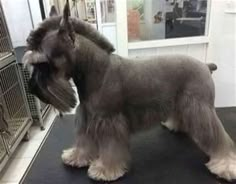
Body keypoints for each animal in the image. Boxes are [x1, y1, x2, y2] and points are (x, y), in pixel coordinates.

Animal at [23, 1, 236, 183]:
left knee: (219, 138)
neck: (98, 71)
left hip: (201, 109)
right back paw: (175, 125)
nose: (31, 88)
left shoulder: (109, 121)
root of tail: (205, 65)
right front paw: (76, 157)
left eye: (44, 63)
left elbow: (110, 149)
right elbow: (83, 141)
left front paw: (104, 170)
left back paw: (226, 165)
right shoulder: (87, 117)